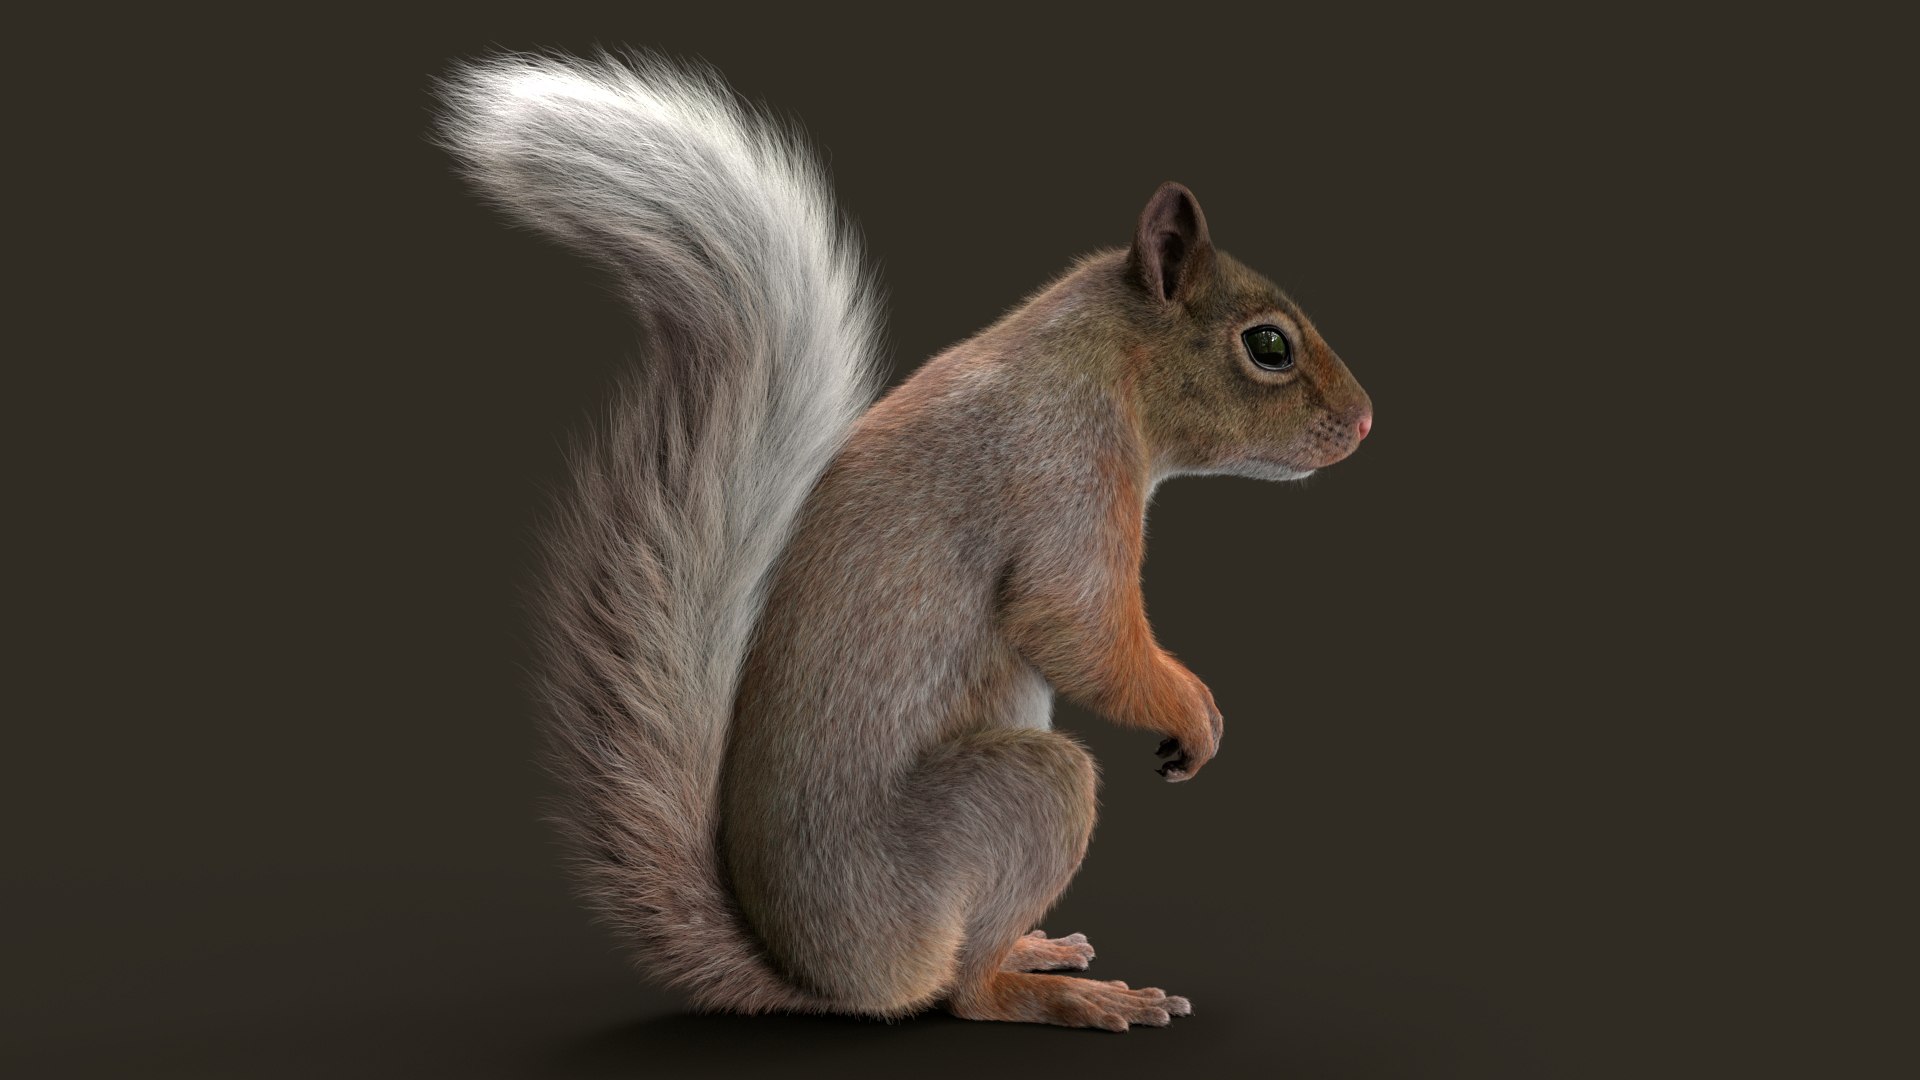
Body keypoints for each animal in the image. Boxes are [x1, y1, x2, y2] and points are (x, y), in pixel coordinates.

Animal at [439, 53, 1371, 1033]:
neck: (1097, 356)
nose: (1365, 422)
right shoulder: (1065, 473)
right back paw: (1049, 992)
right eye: (1267, 346)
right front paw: (1192, 711)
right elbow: (1072, 624)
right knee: (964, 989)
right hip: (1009, 804)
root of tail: (828, 978)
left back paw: (1038, 952)